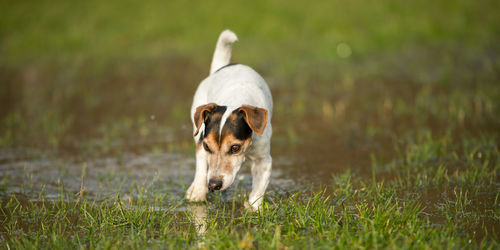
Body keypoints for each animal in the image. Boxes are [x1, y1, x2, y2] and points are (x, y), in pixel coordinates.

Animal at [186, 29, 274, 211]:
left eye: (235, 148)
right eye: (208, 146)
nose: (213, 185)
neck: (236, 98)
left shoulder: (264, 160)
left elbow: (258, 189)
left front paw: (253, 207)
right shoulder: (202, 143)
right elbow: (201, 167)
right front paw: (198, 193)